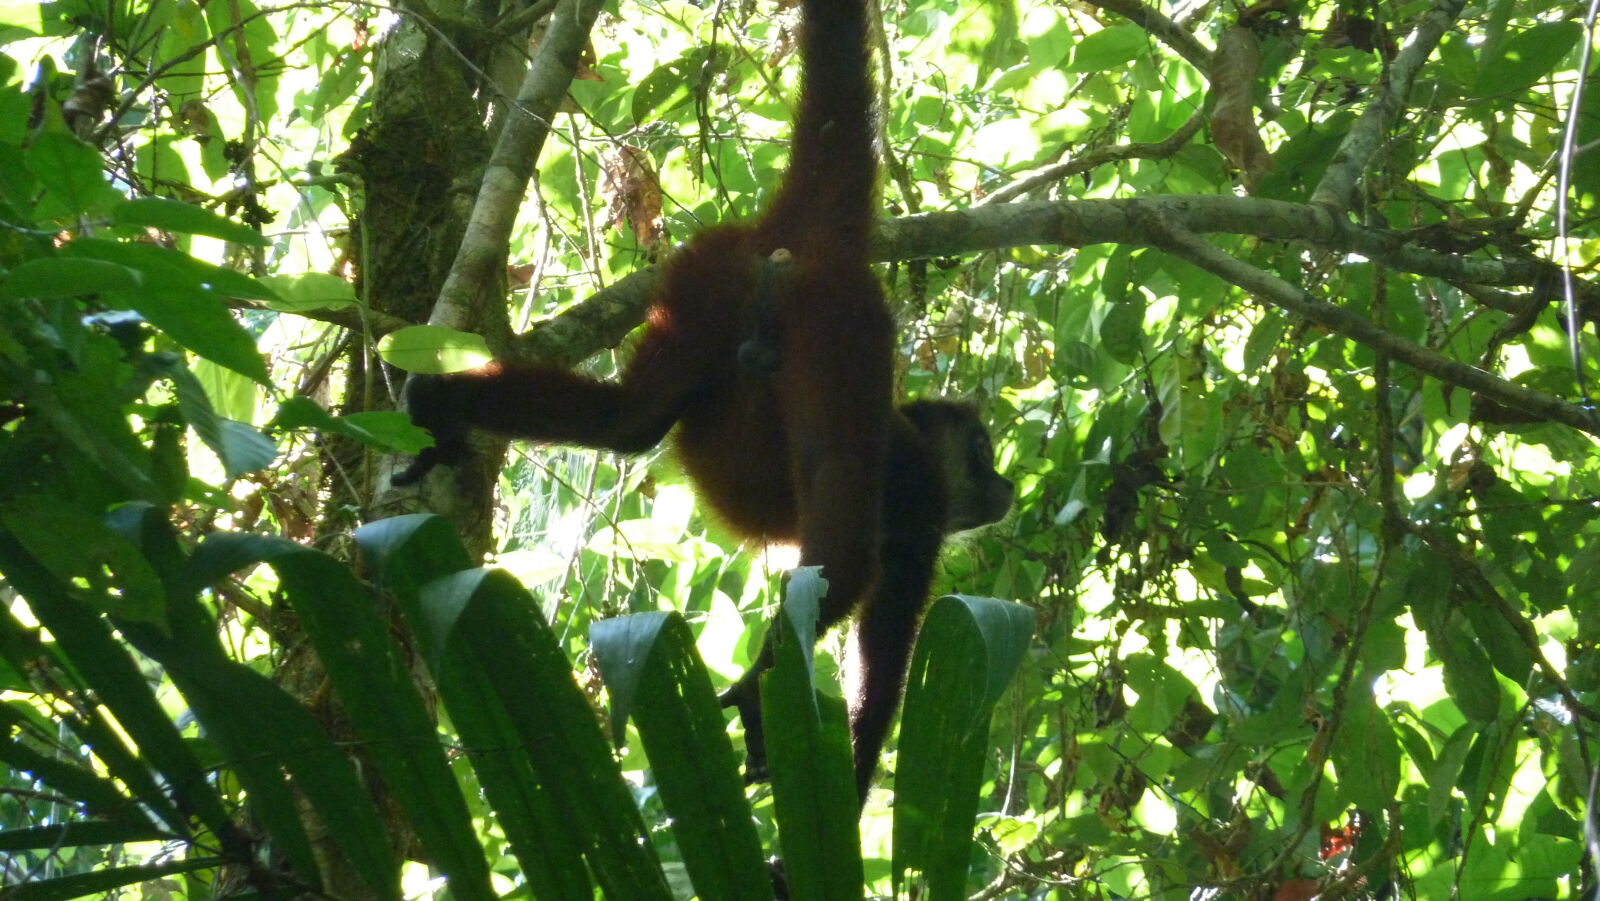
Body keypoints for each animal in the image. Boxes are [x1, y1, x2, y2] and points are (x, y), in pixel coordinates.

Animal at [395, 0, 1013, 800]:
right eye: (981, 453)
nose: (1003, 484)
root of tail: (803, 239)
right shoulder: (922, 500)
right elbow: (882, 642)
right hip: (843, 322)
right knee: (839, 502)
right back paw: (765, 677)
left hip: (706, 276)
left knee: (629, 420)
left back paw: (444, 402)